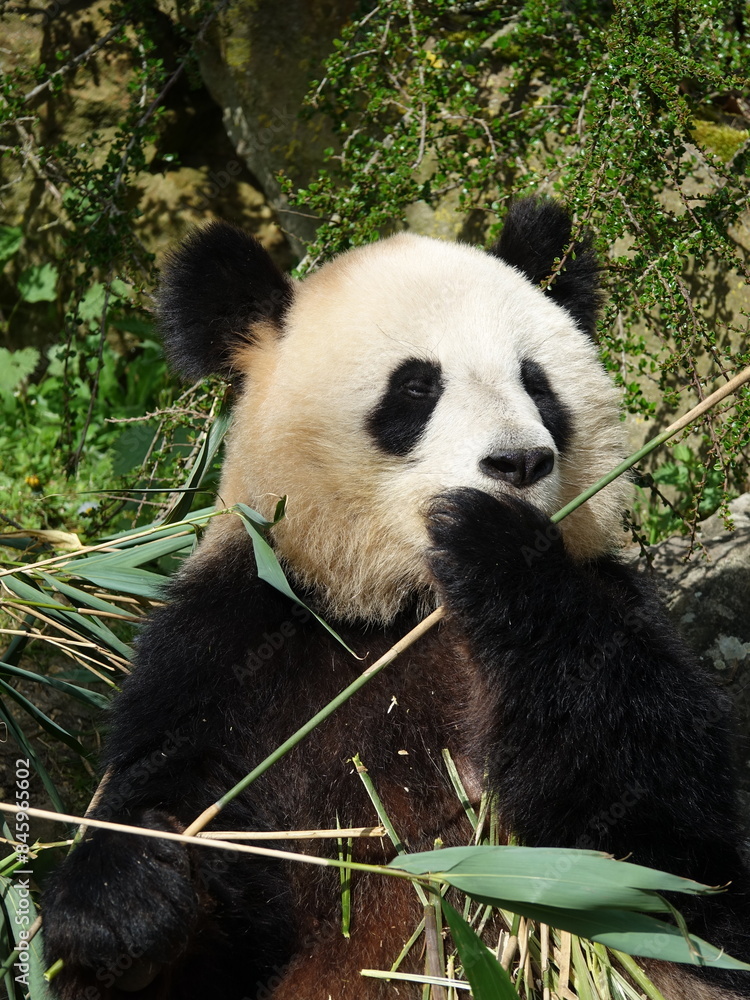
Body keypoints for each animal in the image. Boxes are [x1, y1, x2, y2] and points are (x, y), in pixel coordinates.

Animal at [42, 199, 750, 1000]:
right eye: (416, 388)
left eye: (536, 382)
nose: (518, 463)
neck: (405, 598)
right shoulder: (237, 639)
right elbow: (186, 867)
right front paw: (123, 902)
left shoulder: (609, 603)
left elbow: (656, 848)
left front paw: (496, 543)